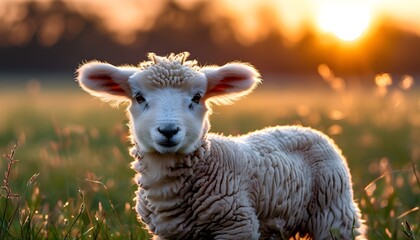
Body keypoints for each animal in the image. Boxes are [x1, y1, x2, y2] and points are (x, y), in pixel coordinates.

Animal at [77, 53, 366, 240]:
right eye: (138, 97)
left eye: (197, 97)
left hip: (334, 215)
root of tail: (302, 127)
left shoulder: (236, 225)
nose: (168, 131)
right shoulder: (170, 233)